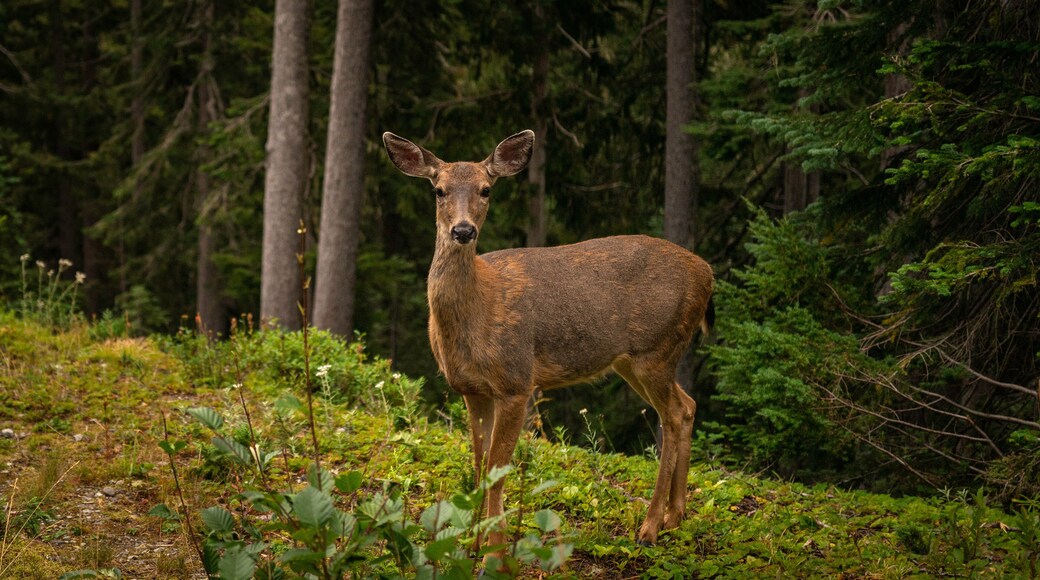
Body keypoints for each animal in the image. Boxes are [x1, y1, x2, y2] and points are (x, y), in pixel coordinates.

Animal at [382, 129, 715, 556]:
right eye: (439, 190)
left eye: (486, 189)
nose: (463, 231)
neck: (476, 311)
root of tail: (707, 274)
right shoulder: (471, 389)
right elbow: (478, 462)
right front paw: (473, 541)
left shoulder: (516, 381)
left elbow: (496, 467)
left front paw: (495, 547)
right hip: (636, 360)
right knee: (687, 406)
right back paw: (676, 515)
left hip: (656, 349)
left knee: (671, 415)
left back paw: (650, 526)